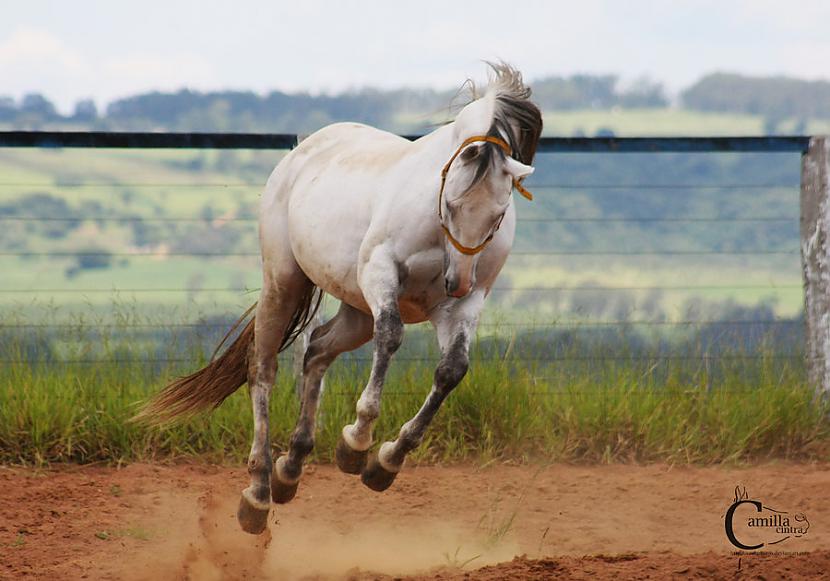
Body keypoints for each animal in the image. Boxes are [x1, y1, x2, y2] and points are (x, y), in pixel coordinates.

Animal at [140, 62, 544, 532]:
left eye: (498, 214)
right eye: (452, 203)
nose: (455, 282)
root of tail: (302, 151)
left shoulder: (464, 306)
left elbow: (452, 370)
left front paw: (384, 462)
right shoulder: (380, 274)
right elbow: (392, 338)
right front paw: (357, 441)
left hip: (357, 312)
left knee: (316, 351)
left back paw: (290, 469)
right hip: (284, 283)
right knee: (263, 369)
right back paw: (258, 494)